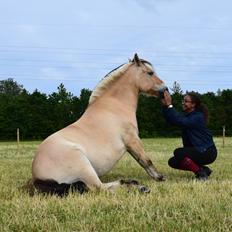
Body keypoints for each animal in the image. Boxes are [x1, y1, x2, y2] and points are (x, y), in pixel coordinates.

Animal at [31, 53, 168, 195]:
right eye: (150, 73)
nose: (165, 89)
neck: (114, 106)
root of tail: (37, 176)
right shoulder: (132, 140)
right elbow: (145, 160)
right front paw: (159, 177)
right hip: (84, 167)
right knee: (99, 187)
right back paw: (140, 187)